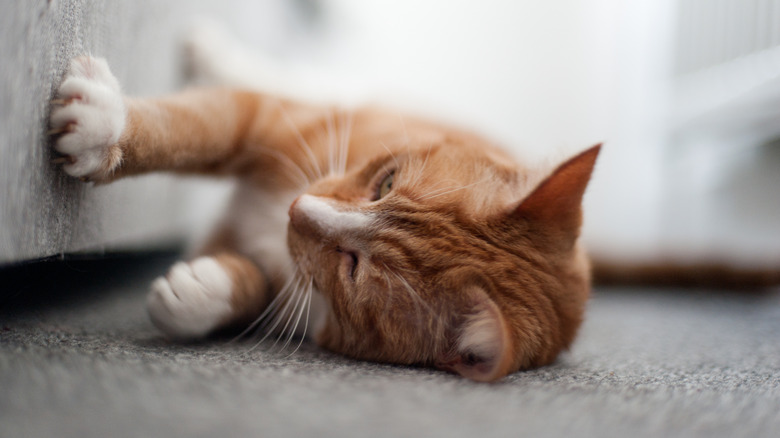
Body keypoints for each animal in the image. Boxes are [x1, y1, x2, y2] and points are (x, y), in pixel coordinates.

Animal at [48, 56, 600, 382]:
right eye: (386, 184)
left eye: (353, 267)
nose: (298, 208)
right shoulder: (269, 121)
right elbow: (195, 127)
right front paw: (103, 129)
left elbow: (250, 289)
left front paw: (197, 293)